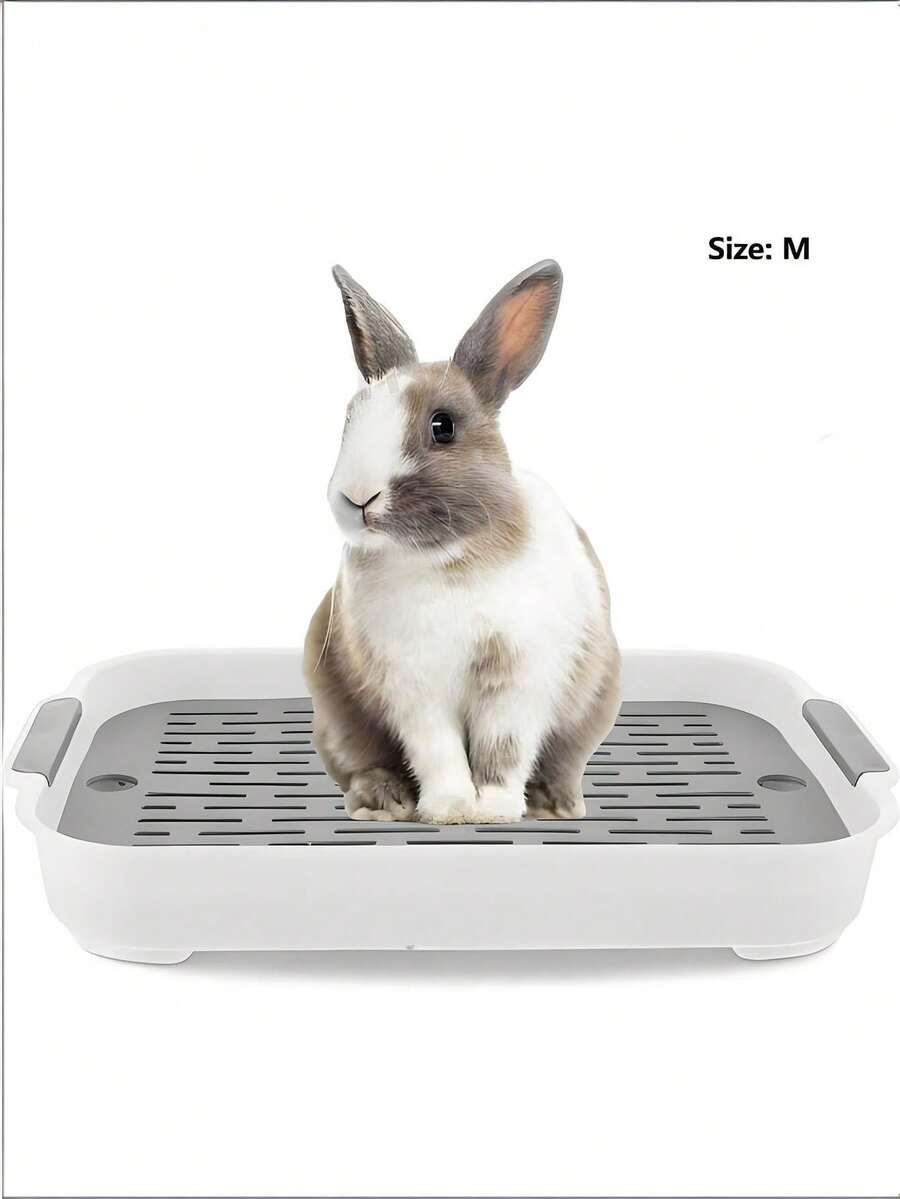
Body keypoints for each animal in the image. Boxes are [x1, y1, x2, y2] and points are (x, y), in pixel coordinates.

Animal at [304, 259, 620, 824]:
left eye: (443, 426)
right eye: (349, 419)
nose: (356, 497)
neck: (445, 560)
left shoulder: (517, 679)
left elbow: (503, 749)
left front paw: (493, 809)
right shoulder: (414, 687)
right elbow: (438, 750)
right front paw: (450, 809)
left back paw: (555, 804)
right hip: (337, 717)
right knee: (362, 763)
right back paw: (385, 802)